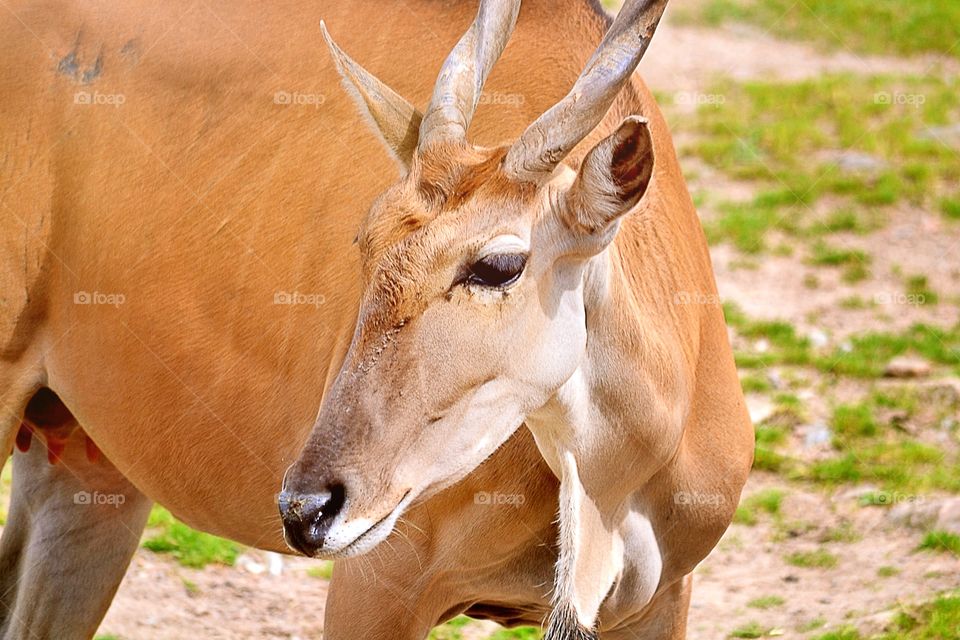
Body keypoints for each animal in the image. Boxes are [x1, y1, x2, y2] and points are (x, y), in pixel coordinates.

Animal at [0, 0, 752, 636]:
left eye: (498, 265)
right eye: (365, 241)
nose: (306, 509)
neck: (610, 484)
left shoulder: (660, 602)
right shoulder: (378, 581)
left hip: (87, 464)